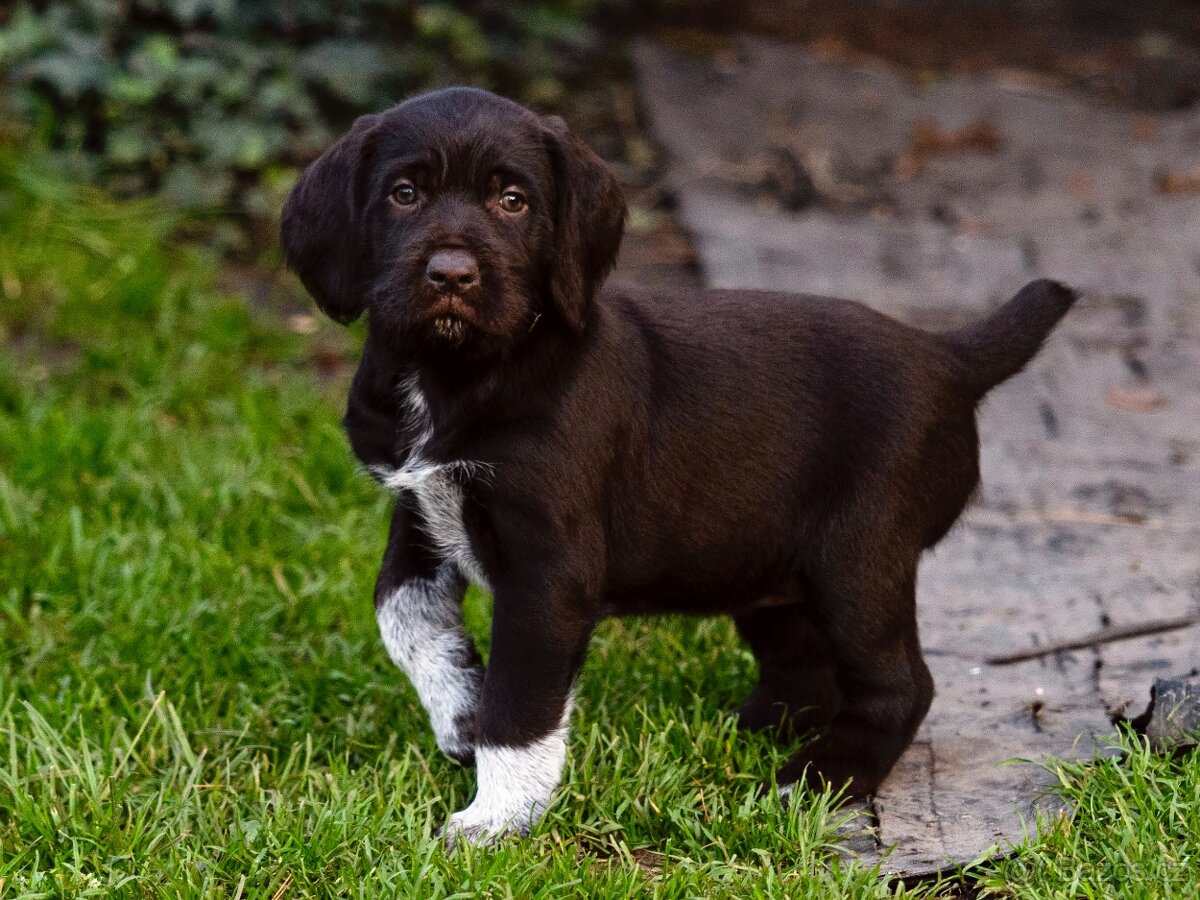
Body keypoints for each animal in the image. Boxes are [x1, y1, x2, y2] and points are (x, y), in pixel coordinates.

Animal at [280, 84, 1080, 844]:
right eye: (403, 194)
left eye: (513, 201)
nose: (451, 273)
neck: (457, 377)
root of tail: (947, 357)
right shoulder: (420, 513)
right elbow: (402, 617)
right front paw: (459, 712)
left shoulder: (549, 571)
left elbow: (523, 702)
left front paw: (496, 816)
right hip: (767, 561)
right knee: (806, 670)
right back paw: (742, 739)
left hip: (858, 559)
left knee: (899, 686)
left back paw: (817, 780)